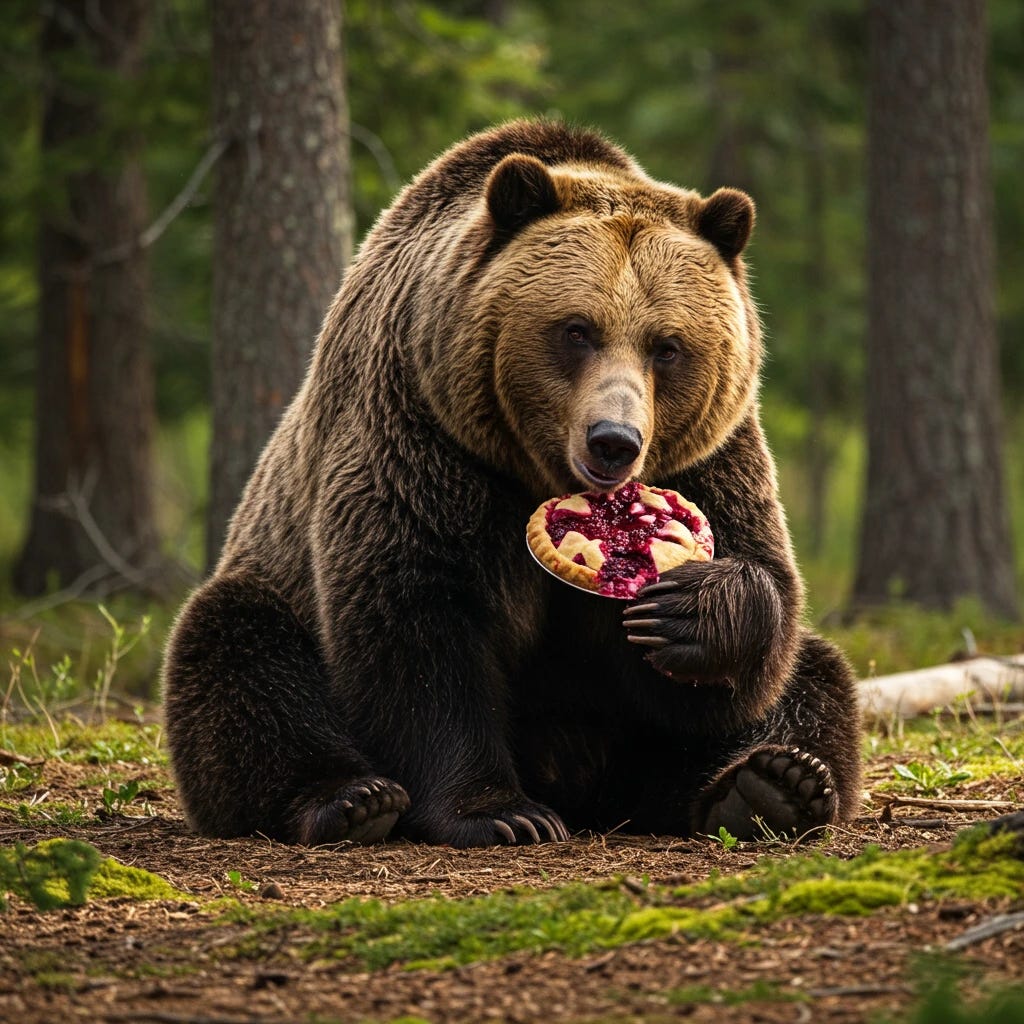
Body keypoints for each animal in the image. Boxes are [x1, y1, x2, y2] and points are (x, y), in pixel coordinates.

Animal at [163, 119, 863, 848]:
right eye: (577, 330)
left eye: (667, 346)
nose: (614, 440)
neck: (534, 468)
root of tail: (593, 796)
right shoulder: (423, 436)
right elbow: (416, 620)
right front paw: (501, 811)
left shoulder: (713, 454)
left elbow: (749, 616)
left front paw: (686, 608)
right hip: (273, 583)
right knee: (239, 653)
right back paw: (350, 798)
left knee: (817, 677)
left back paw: (772, 785)